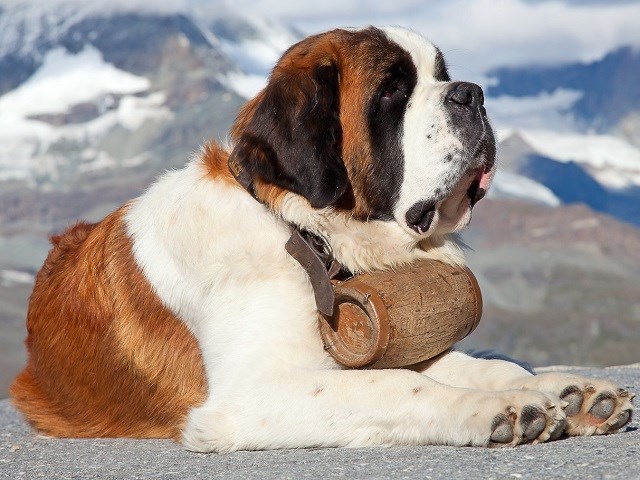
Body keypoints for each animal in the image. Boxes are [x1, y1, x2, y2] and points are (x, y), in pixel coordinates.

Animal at [12, 26, 632, 452]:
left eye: (441, 74)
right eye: (393, 93)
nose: (472, 93)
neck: (305, 234)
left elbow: (469, 363)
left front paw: (564, 392)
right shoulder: (250, 395)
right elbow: (392, 385)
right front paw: (500, 409)